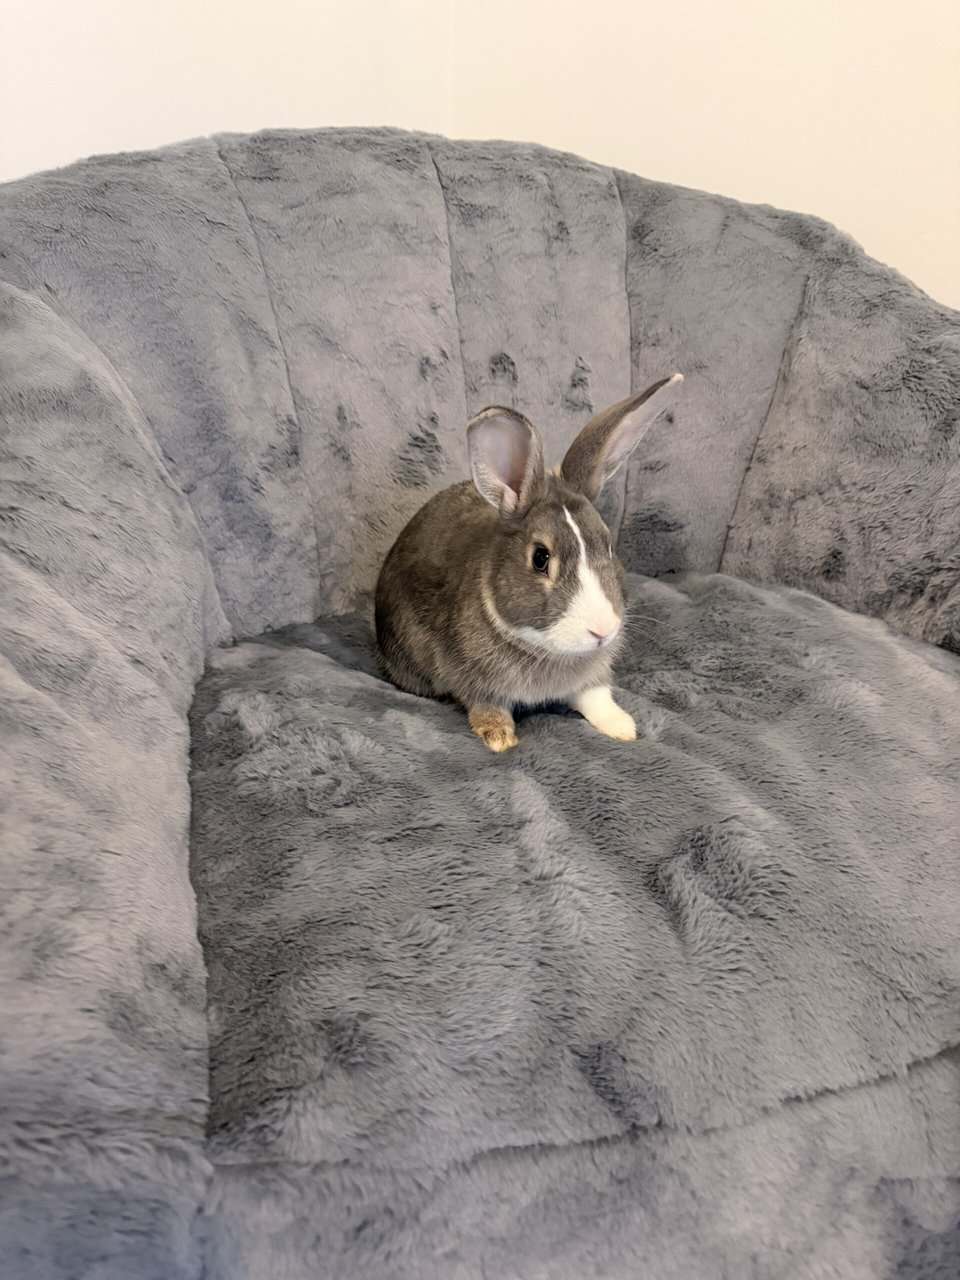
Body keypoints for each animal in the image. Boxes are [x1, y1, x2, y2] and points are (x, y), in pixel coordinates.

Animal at [375, 374, 684, 752]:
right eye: (540, 558)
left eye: (608, 544)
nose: (603, 631)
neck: (547, 649)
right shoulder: (472, 679)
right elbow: (486, 704)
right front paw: (500, 737)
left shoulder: (590, 677)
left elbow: (595, 696)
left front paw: (623, 727)